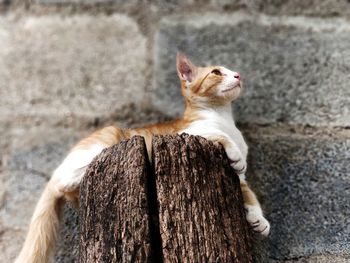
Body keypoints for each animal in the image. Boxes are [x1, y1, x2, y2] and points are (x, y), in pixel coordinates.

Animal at [15, 53, 270, 263]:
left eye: (231, 70)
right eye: (216, 72)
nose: (238, 75)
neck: (223, 117)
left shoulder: (241, 179)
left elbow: (248, 192)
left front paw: (258, 219)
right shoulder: (189, 133)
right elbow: (220, 137)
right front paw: (235, 154)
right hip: (108, 137)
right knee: (65, 180)